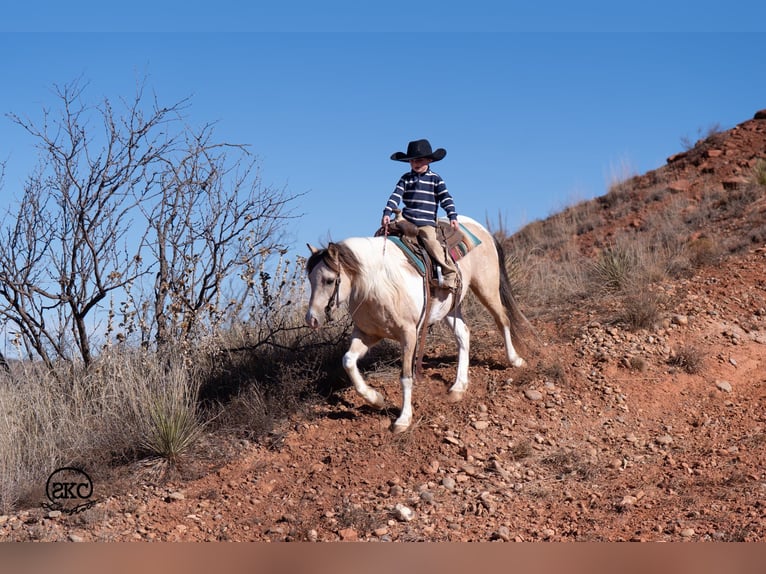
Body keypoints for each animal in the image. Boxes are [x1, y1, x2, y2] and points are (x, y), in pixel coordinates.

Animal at [305, 215, 527, 433]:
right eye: (310, 279)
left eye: (329, 280)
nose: (311, 319)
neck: (378, 283)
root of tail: (480, 227)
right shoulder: (368, 334)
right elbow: (348, 361)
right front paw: (376, 399)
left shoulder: (409, 334)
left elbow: (405, 377)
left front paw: (403, 419)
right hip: (449, 308)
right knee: (463, 334)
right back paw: (458, 387)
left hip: (486, 288)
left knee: (502, 320)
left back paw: (515, 360)